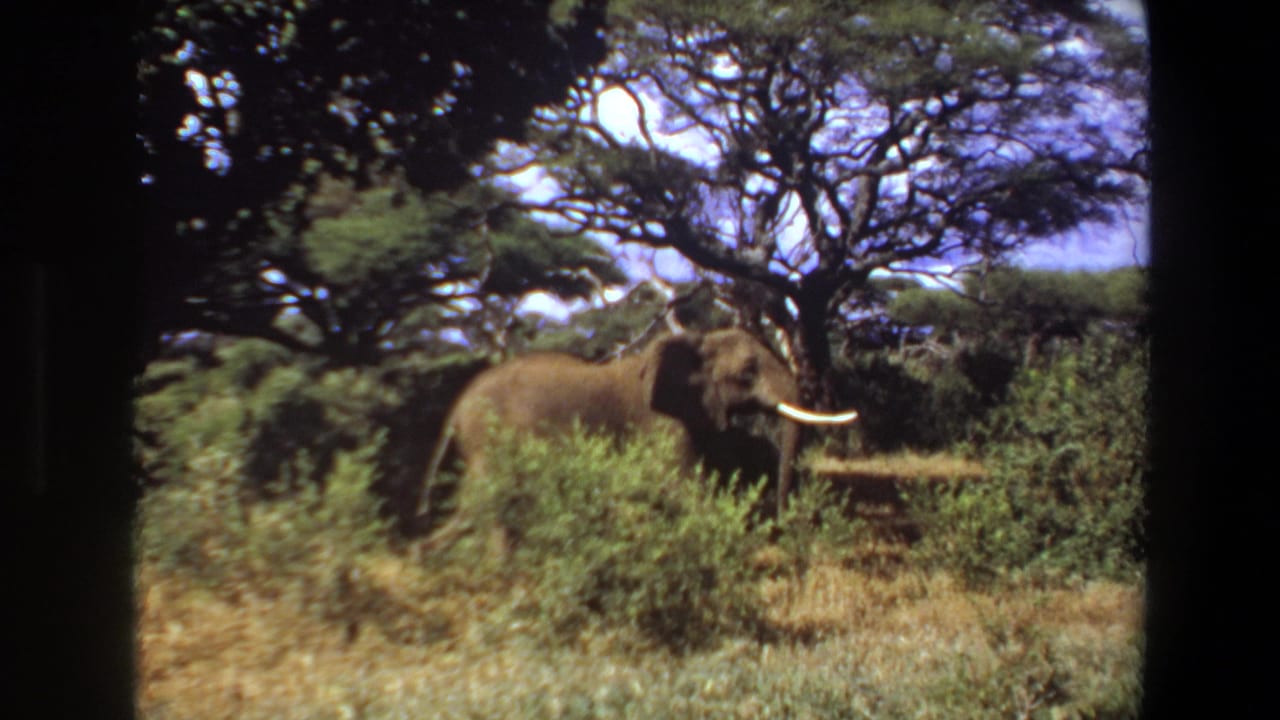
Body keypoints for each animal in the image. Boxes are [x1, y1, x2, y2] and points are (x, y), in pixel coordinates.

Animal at [417, 327, 858, 549]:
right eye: (748, 372)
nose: (785, 527)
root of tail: (458, 406)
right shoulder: (659, 422)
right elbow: (683, 488)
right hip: (488, 440)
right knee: (489, 507)